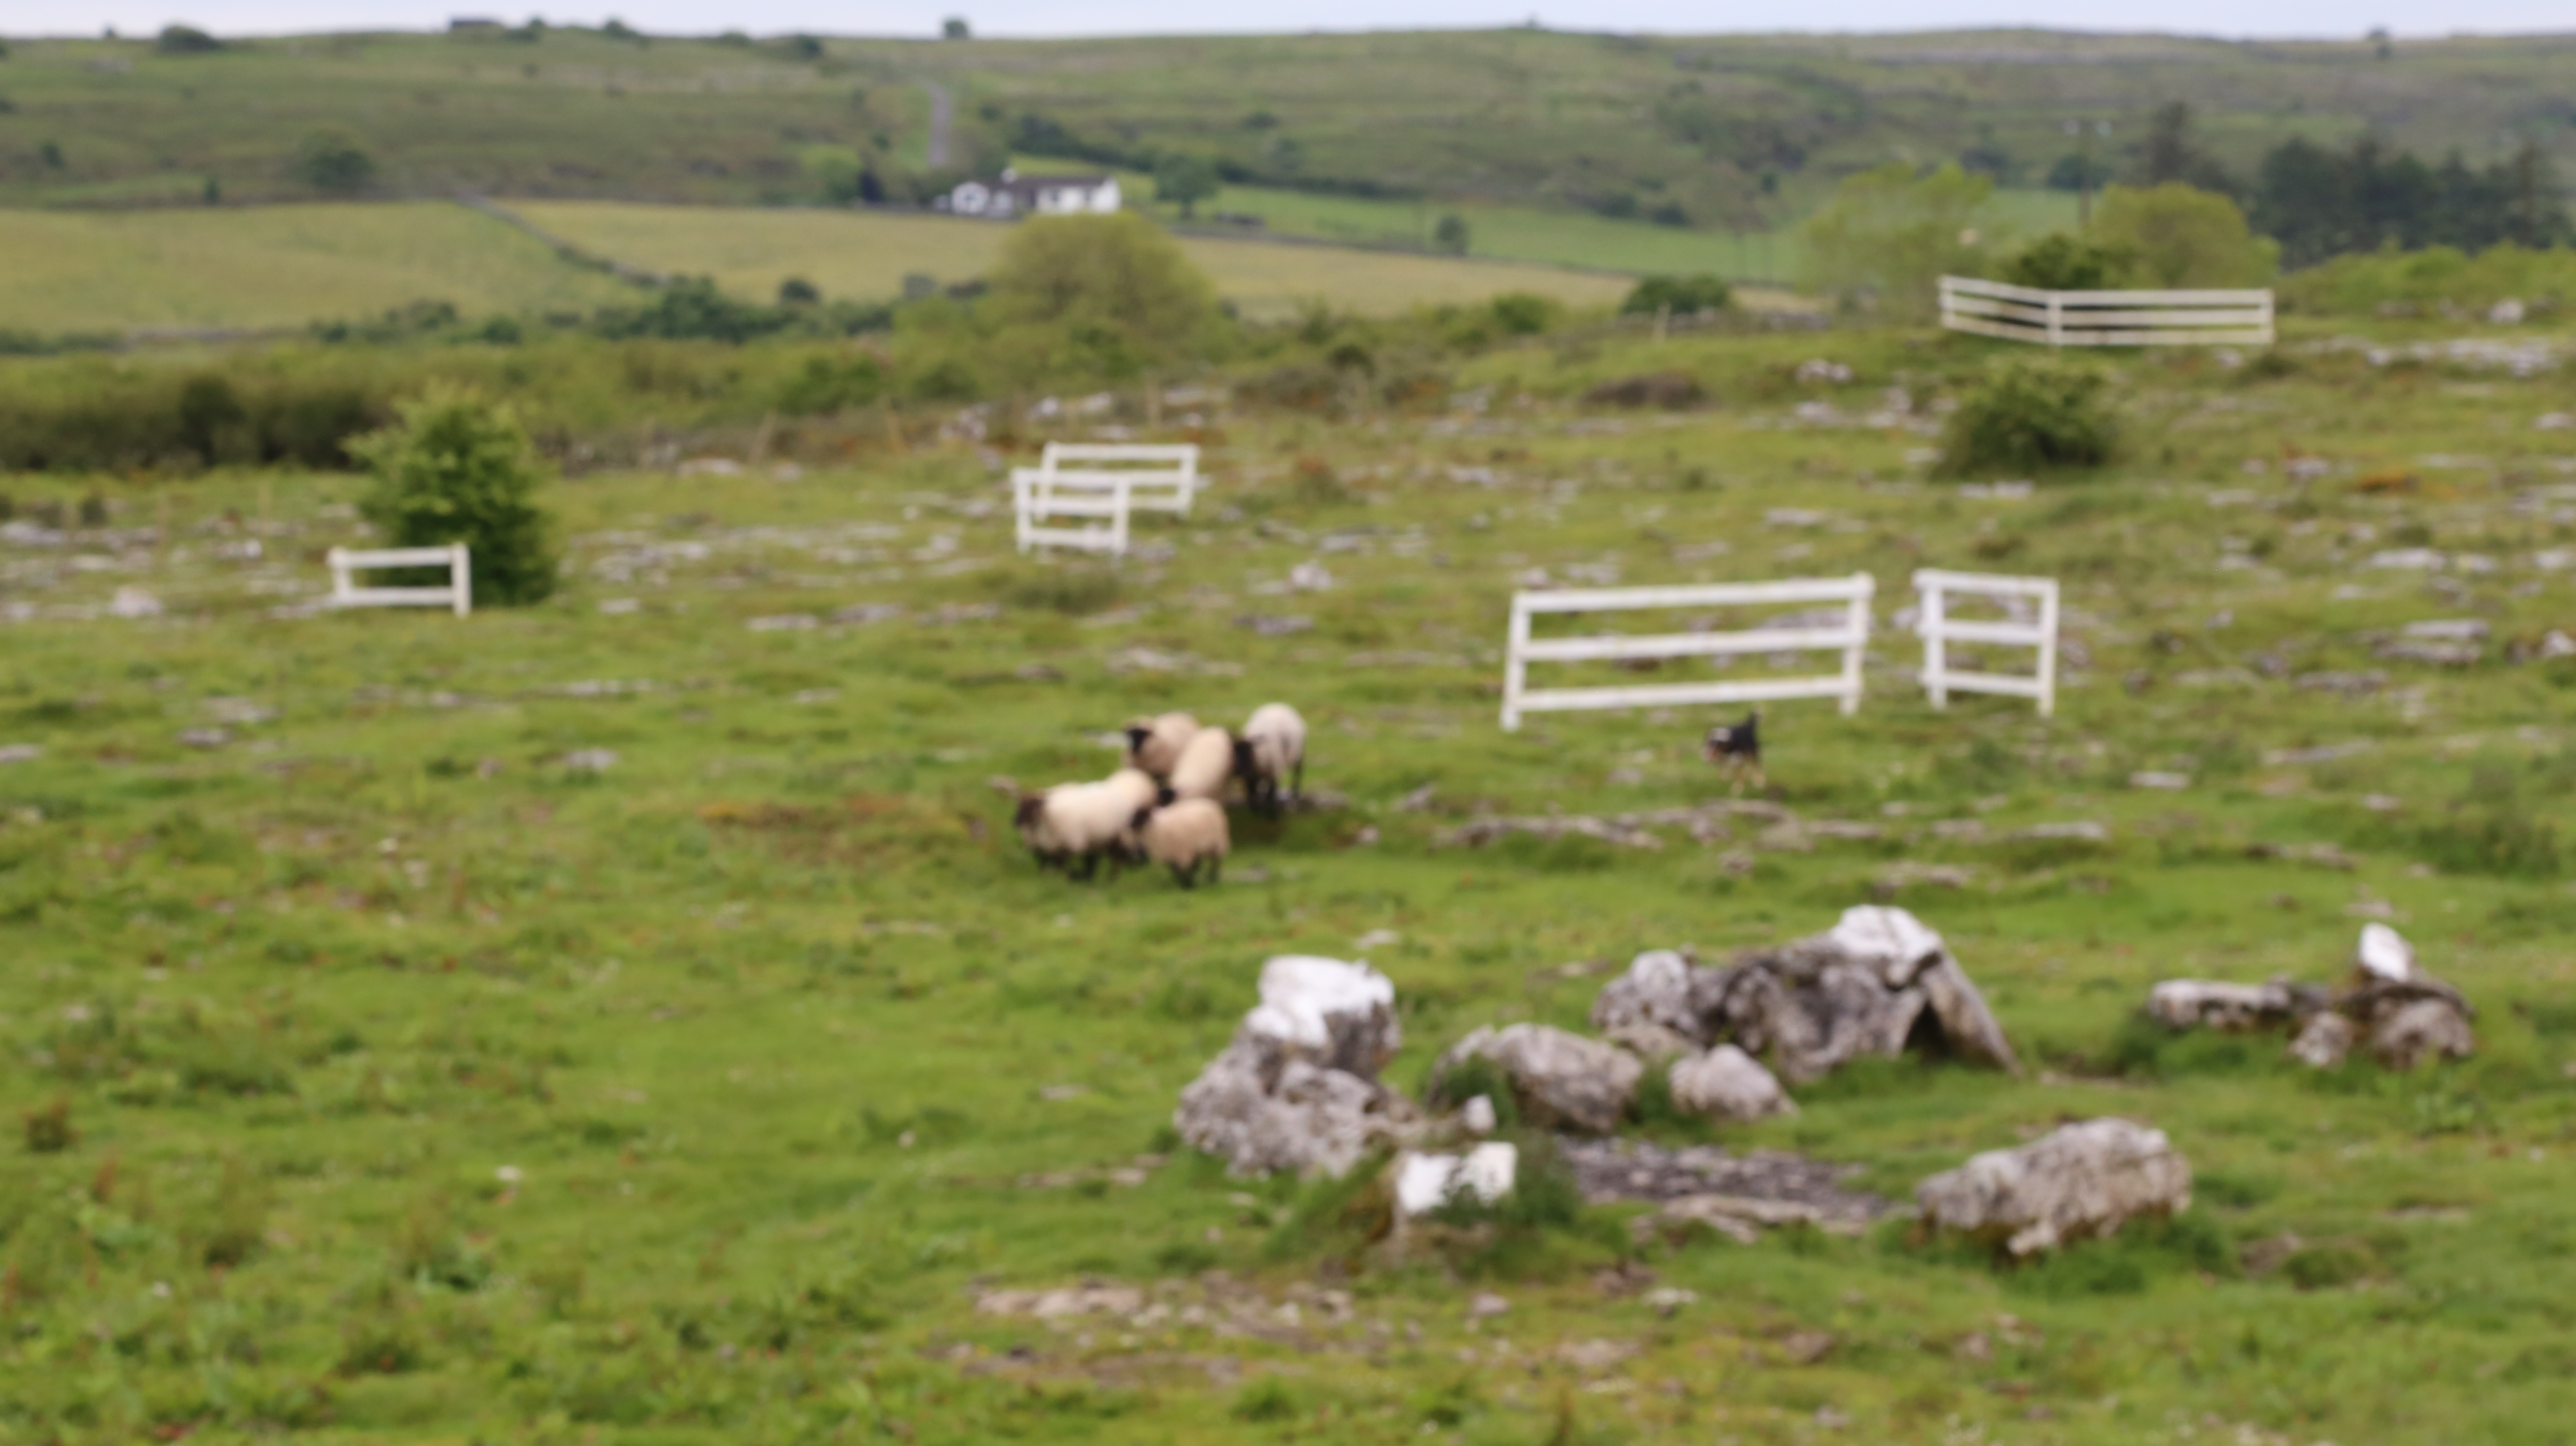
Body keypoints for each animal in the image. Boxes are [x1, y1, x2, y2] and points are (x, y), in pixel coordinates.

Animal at [1133, 794, 1231, 886]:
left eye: (1141, 815)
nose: (1132, 826)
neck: (1155, 827)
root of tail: (1211, 803)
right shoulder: (1171, 856)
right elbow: (1176, 872)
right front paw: (1184, 884)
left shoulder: (1182, 854)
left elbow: (1185, 872)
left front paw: (1188, 885)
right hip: (1199, 847)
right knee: (1200, 863)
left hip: (1218, 844)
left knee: (1216, 863)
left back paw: (1213, 879)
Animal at [1231, 706, 1308, 819]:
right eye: (1233, 751)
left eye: (1249, 752)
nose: (1237, 771)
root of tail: (1280, 705)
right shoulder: (1249, 777)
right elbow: (1252, 795)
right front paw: (1255, 812)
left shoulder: (1274, 774)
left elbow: (1271, 796)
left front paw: (1272, 815)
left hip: (1298, 754)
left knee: (1298, 772)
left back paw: (1295, 794)